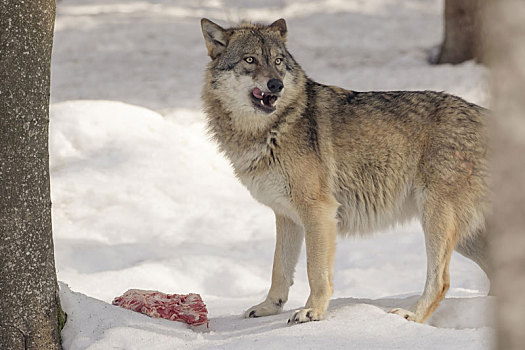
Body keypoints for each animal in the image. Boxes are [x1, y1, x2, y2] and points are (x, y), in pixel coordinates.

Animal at [199, 17, 490, 324]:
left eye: (277, 61)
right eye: (250, 59)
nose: (276, 85)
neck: (270, 130)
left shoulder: (319, 213)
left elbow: (316, 272)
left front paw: (312, 311)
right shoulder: (286, 217)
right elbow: (279, 269)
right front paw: (269, 307)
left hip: (437, 221)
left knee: (441, 280)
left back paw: (410, 316)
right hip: (465, 238)